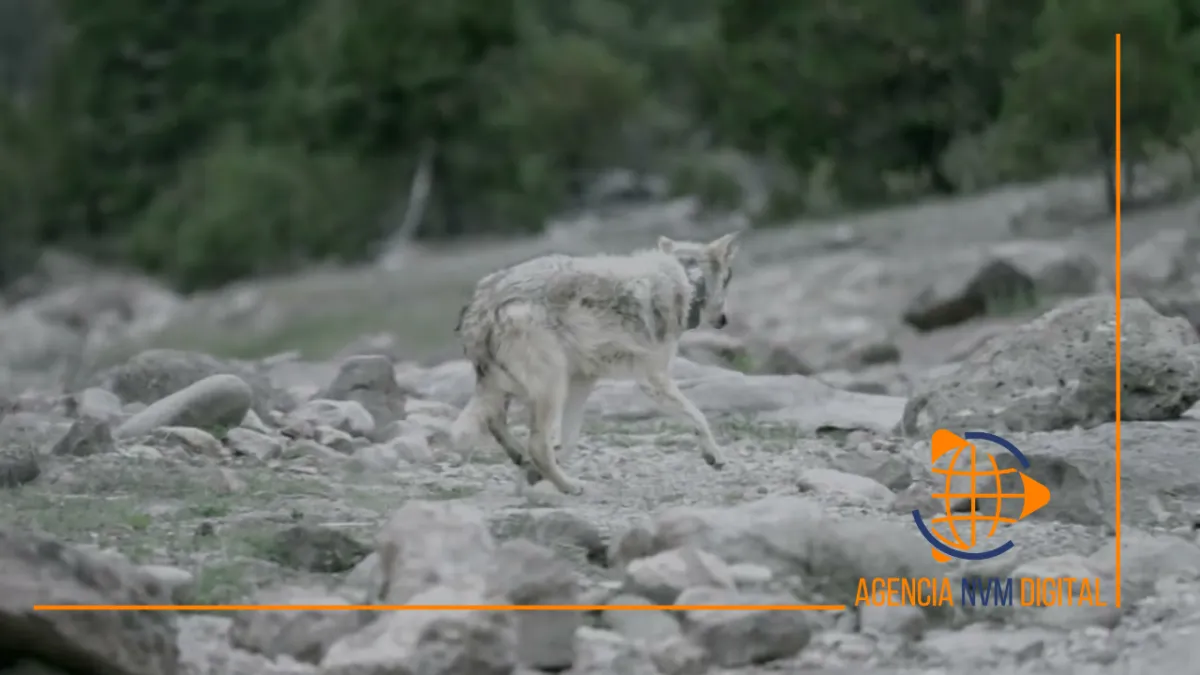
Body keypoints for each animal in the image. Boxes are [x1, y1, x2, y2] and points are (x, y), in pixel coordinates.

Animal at [450, 232, 741, 495]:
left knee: (497, 423)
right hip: (550, 386)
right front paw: (715, 455)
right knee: (536, 443)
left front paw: (533, 477)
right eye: (728, 279)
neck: (687, 280)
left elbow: (568, 440)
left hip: (512, 387)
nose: (724, 320)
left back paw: (529, 465)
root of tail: (483, 301)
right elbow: (699, 415)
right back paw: (569, 486)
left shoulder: (583, 382)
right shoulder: (654, 378)